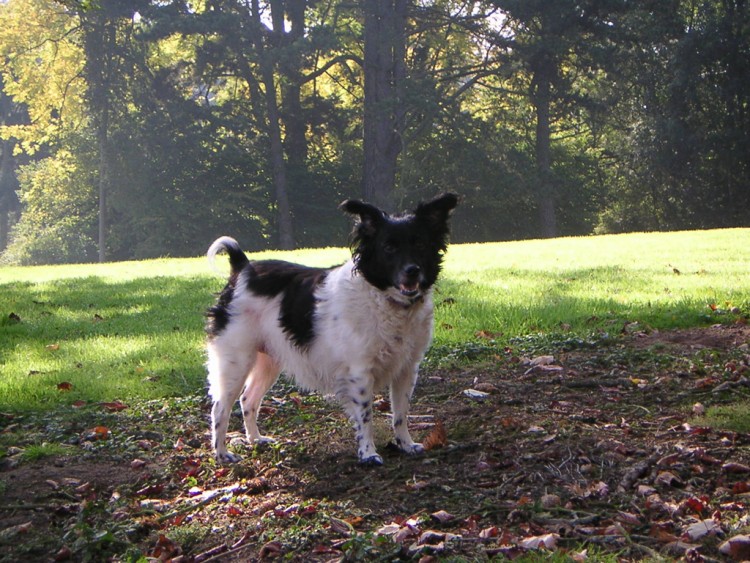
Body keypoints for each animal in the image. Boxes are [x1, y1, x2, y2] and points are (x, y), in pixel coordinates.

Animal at [206, 194, 462, 468]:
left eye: (421, 244)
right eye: (388, 248)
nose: (412, 270)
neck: (385, 299)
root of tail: (242, 268)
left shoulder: (407, 368)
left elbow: (401, 413)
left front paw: (405, 444)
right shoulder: (360, 373)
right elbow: (366, 417)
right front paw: (368, 454)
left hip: (268, 360)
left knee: (248, 399)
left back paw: (255, 439)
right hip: (237, 361)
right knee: (220, 408)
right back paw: (221, 454)